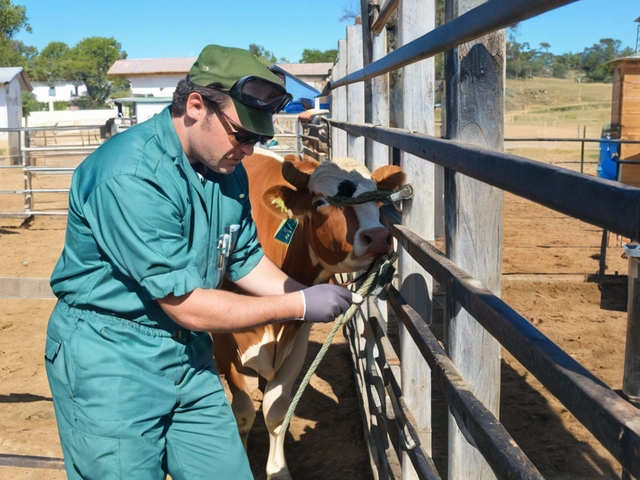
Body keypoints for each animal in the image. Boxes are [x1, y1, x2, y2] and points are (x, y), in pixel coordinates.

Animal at [215, 148, 404, 478]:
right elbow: (243, 412)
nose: (379, 238)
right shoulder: (222, 340)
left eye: (378, 201)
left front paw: (278, 469)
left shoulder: (298, 336)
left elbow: (276, 410)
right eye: (320, 202)